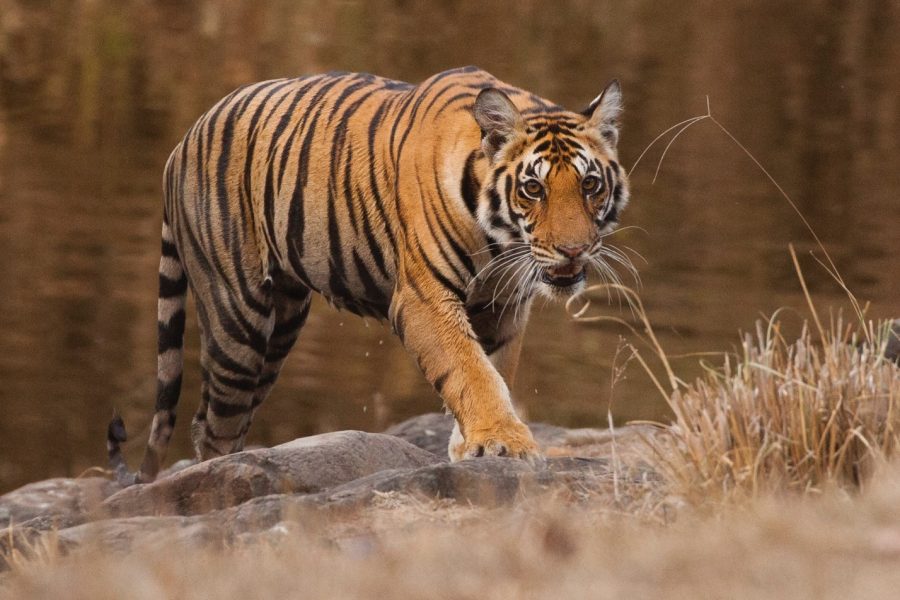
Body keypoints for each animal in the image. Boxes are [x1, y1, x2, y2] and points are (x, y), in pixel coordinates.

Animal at [105, 65, 628, 486]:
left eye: (590, 185)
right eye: (533, 189)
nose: (573, 250)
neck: (501, 241)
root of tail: (183, 140)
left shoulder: (504, 305)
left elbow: (494, 369)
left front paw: (472, 444)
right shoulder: (423, 299)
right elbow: (470, 370)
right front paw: (503, 441)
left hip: (281, 326)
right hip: (239, 318)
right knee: (213, 425)